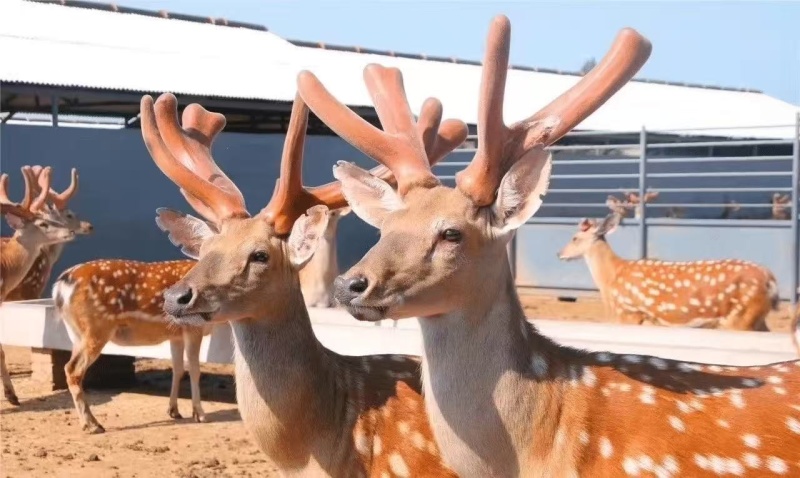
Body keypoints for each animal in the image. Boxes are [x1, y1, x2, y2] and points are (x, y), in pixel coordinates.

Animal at [557, 211, 779, 331]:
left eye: (574, 238)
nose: (559, 253)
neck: (610, 279)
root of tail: (770, 279)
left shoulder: (629, 312)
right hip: (755, 317)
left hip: (740, 317)